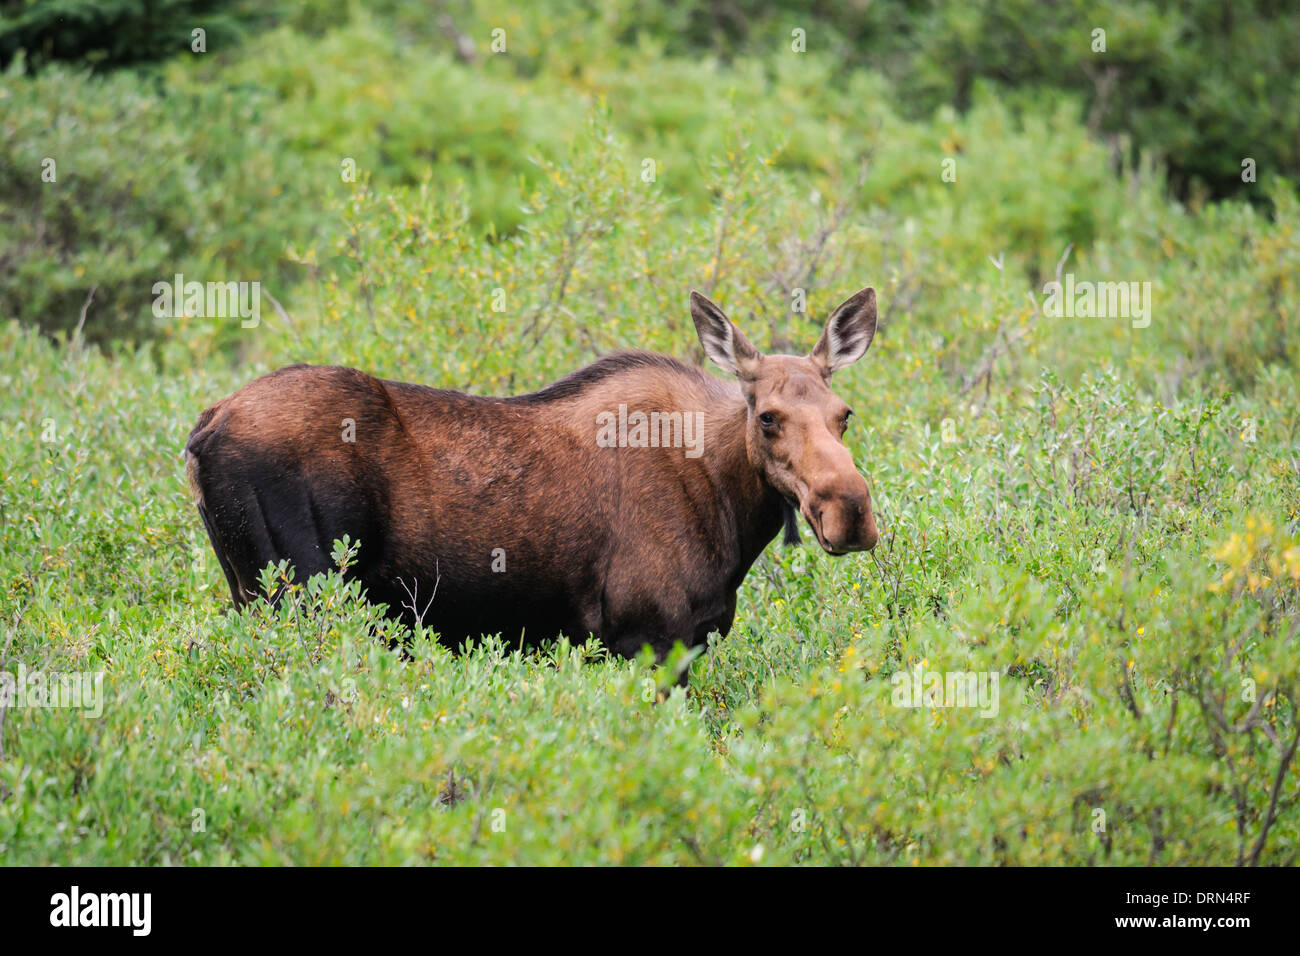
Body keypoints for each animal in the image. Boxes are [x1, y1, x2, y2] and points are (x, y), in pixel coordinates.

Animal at [188, 287, 883, 660]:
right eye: (767, 417)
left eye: (844, 414)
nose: (850, 512)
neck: (729, 511)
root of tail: (202, 432)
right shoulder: (649, 636)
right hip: (298, 594)